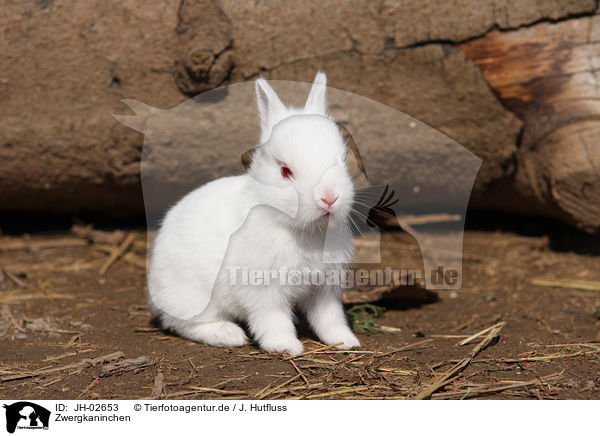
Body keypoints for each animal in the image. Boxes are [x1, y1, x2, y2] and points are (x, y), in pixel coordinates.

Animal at [147, 72, 358, 358]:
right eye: (285, 171)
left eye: (342, 161)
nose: (328, 197)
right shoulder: (263, 289)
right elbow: (273, 320)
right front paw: (286, 346)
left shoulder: (324, 289)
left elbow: (330, 319)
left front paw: (346, 341)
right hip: (193, 297)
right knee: (183, 324)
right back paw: (230, 335)